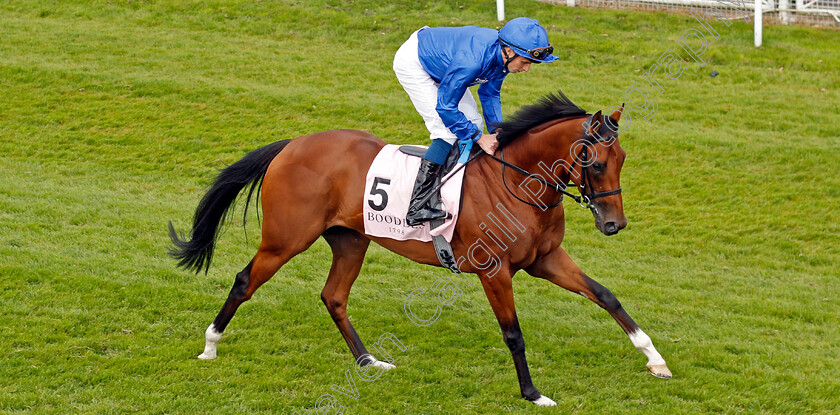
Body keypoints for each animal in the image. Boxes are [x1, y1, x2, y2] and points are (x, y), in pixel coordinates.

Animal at [169, 91, 668, 406]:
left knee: (334, 296)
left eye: (622, 160)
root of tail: (293, 144)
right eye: (596, 163)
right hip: (285, 239)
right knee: (244, 281)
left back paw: (369, 360)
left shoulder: (545, 260)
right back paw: (210, 345)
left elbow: (605, 295)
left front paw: (654, 359)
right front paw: (533, 393)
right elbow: (513, 333)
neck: (518, 182)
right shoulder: (494, 270)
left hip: (351, 240)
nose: (614, 224)